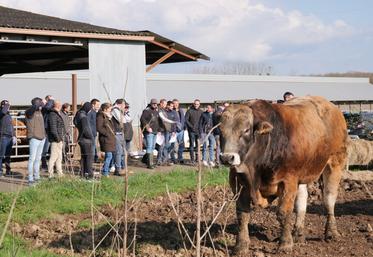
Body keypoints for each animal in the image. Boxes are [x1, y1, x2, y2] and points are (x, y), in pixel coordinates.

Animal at [219, 95, 348, 253]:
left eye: (246, 130)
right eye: (220, 130)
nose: (227, 158)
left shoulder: (288, 181)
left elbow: (283, 213)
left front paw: (285, 244)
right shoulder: (238, 182)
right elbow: (242, 214)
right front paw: (240, 246)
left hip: (335, 163)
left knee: (329, 199)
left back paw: (331, 233)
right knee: (302, 201)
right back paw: (298, 234)